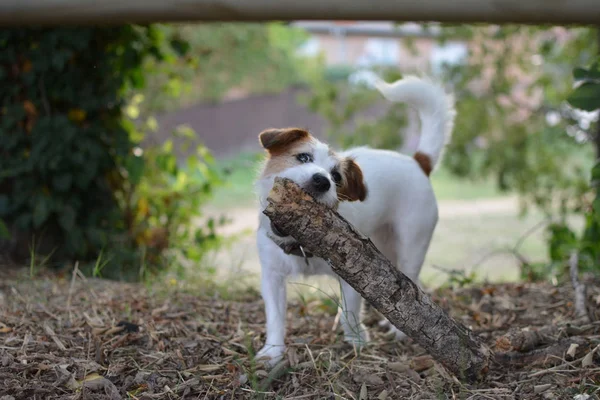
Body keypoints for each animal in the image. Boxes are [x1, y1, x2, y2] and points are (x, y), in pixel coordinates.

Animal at [253, 75, 454, 366]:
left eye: (336, 177)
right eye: (303, 157)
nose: (321, 180)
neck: (299, 242)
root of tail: (417, 163)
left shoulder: (352, 274)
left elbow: (350, 311)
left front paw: (357, 341)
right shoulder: (272, 277)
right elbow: (276, 318)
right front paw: (273, 351)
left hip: (411, 248)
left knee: (413, 289)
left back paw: (398, 330)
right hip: (384, 250)